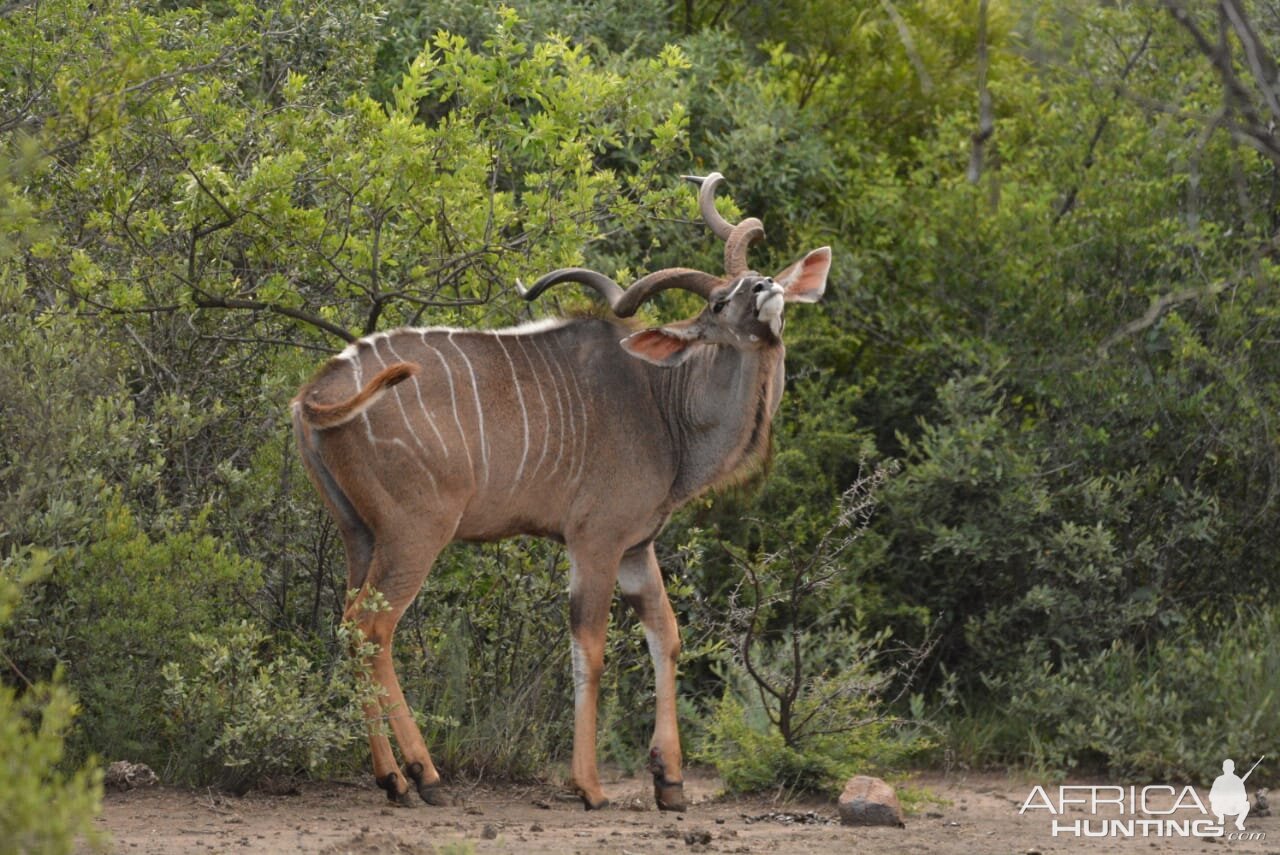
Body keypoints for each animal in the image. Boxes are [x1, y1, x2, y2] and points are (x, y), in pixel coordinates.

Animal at [290, 171, 829, 808]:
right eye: (720, 302)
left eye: (761, 274)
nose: (765, 287)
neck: (662, 405)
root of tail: (315, 394)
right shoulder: (595, 539)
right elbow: (589, 647)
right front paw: (590, 786)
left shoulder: (636, 546)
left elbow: (666, 636)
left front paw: (670, 782)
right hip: (414, 532)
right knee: (370, 628)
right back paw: (425, 776)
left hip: (358, 534)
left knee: (353, 627)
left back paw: (393, 778)